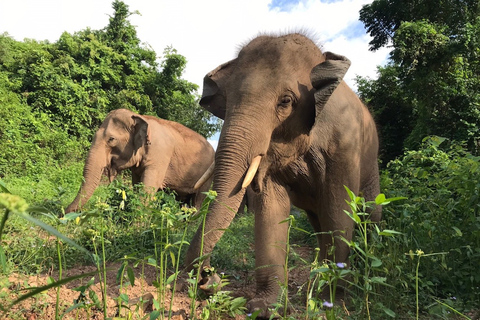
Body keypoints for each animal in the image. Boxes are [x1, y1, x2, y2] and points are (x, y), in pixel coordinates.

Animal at [64, 107, 215, 212]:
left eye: (111, 139)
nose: (62, 213)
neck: (140, 117)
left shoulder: (160, 156)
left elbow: (149, 187)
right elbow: (137, 184)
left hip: (206, 181)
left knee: (197, 201)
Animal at [185, 33, 382, 318]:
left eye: (286, 101)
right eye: (228, 101)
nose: (209, 278)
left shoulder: (345, 145)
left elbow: (340, 208)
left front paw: (332, 303)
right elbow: (271, 208)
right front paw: (265, 308)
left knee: (368, 214)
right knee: (319, 223)